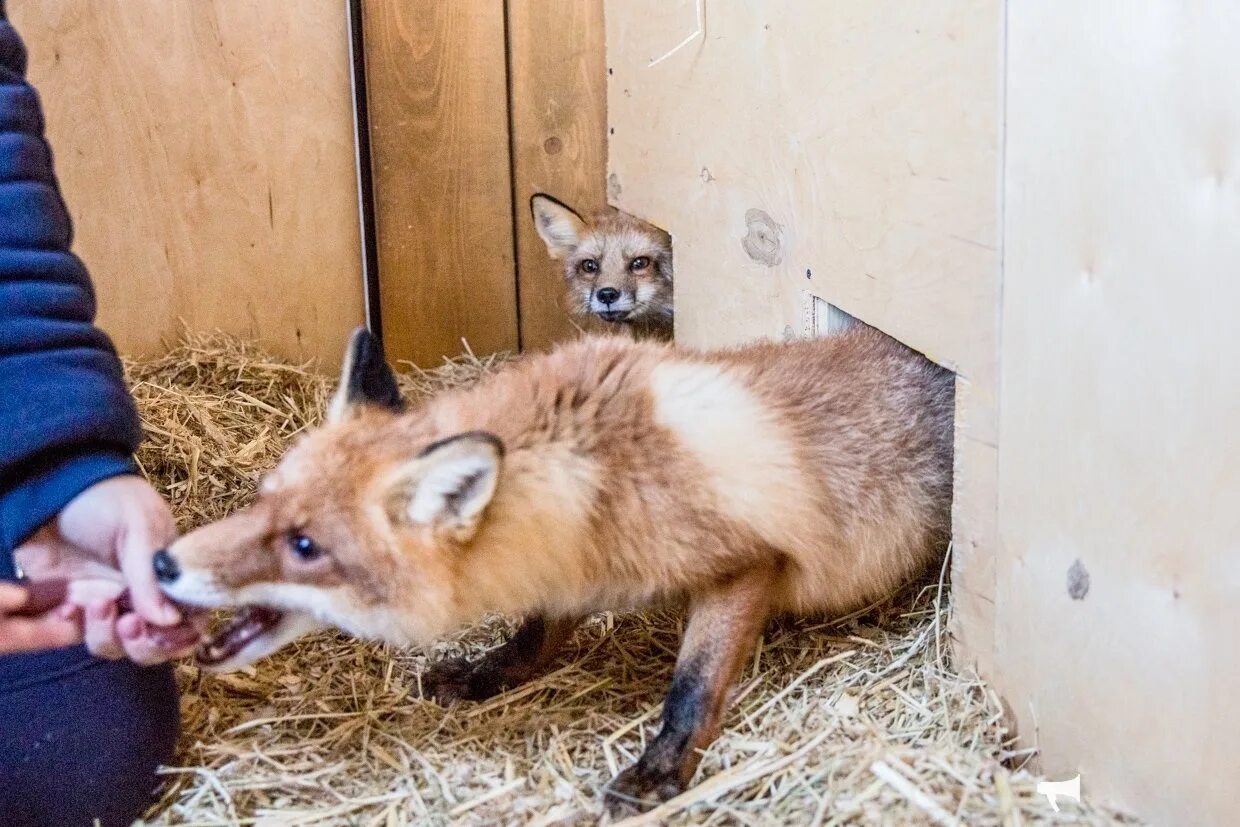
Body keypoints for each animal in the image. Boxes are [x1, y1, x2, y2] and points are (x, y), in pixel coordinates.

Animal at [152, 324, 947, 813]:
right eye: (263, 501)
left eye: (305, 547)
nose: (162, 561)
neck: (599, 466)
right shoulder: (576, 561)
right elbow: (535, 634)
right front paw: (486, 674)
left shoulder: (748, 562)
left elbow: (692, 689)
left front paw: (662, 770)